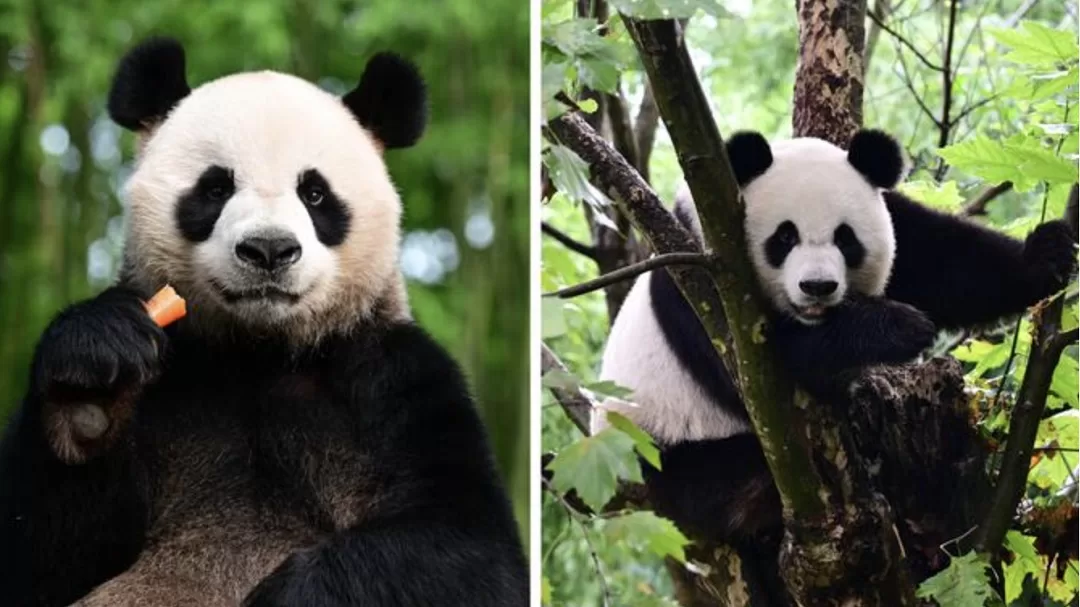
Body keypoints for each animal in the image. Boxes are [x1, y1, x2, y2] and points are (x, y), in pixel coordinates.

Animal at [0, 38, 527, 607]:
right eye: (214, 188)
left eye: (315, 193)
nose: (269, 249)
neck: (260, 351)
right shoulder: (168, 383)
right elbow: (39, 555)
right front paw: (91, 390)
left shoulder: (392, 378)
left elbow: (472, 551)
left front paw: (290, 591)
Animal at [593, 129, 1075, 565]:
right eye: (784, 237)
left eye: (846, 238)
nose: (818, 287)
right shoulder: (701, 282)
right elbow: (761, 368)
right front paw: (897, 327)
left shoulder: (899, 224)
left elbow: (946, 262)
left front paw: (1048, 255)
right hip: (672, 452)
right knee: (735, 482)